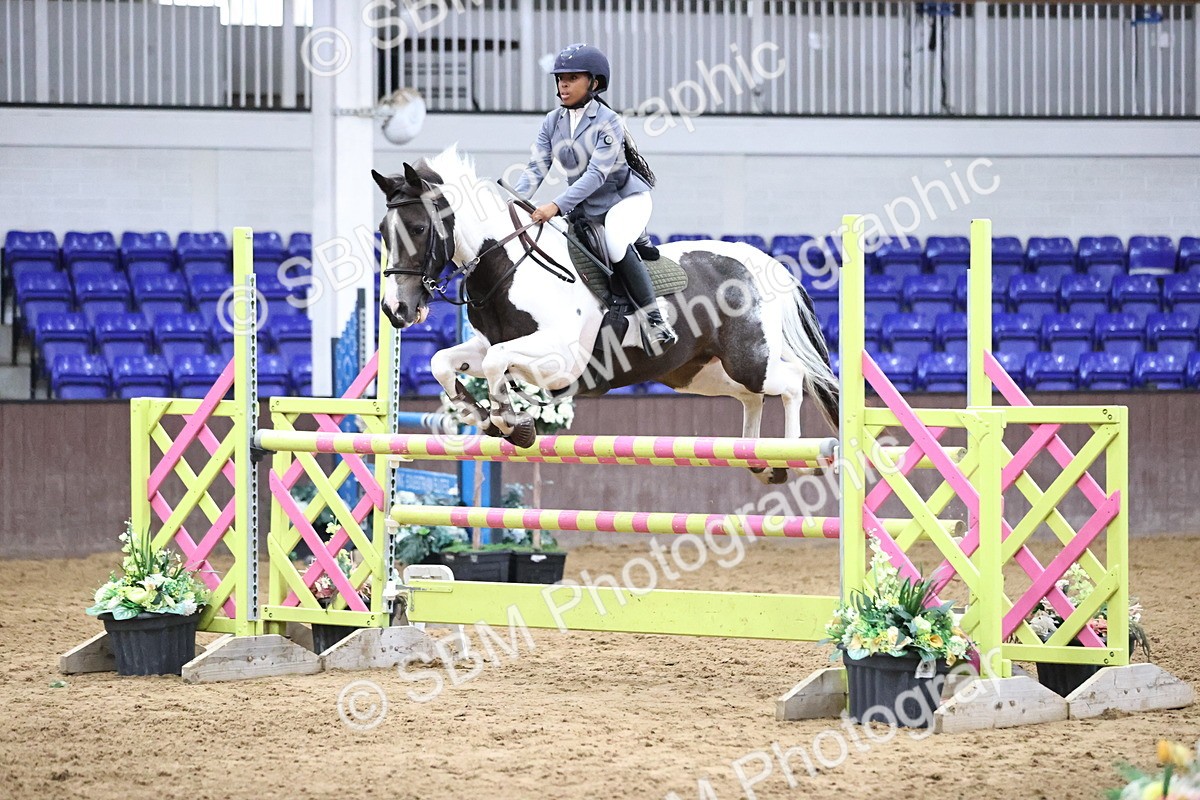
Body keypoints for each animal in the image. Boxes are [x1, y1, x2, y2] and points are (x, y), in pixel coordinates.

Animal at [373, 146, 838, 484]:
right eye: (383, 232)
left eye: (418, 229)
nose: (396, 310)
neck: (508, 264)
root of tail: (764, 262)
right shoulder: (489, 343)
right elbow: (445, 361)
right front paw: (479, 415)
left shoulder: (559, 359)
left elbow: (494, 363)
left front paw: (512, 424)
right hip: (702, 373)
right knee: (752, 396)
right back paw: (757, 459)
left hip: (748, 360)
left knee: (792, 381)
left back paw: (793, 456)